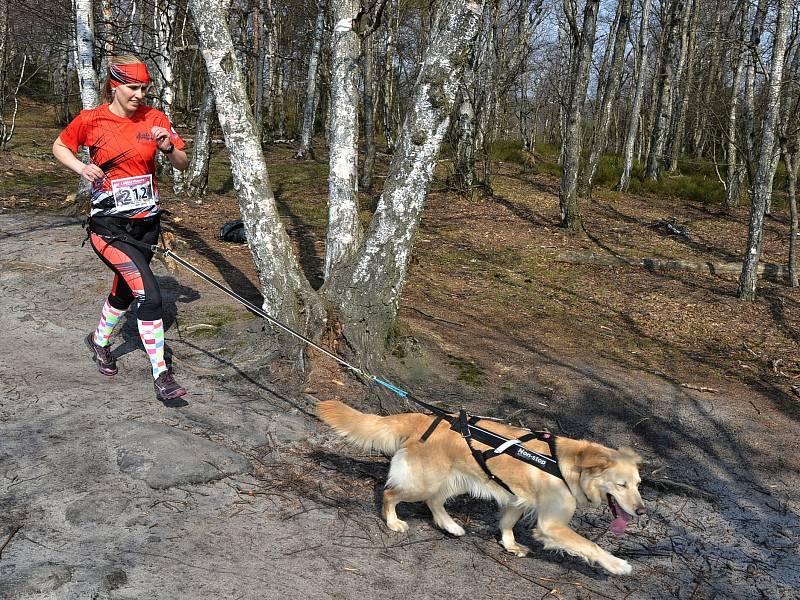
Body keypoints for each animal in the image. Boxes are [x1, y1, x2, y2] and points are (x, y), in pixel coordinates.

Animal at [316, 400, 648, 576]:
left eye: (639, 485)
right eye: (621, 485)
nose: (642, 511)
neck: (568, 466)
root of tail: (422, 416)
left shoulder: (516, 499)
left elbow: (507, 523)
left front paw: (510, 544)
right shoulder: (551, 524)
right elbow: (590, 545)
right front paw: (617, 564)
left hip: (455, 479)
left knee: (434, 503)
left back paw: (451, 526)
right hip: (424, 481)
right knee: (390, 493)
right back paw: (394, 521)